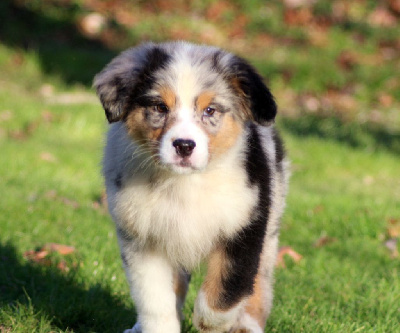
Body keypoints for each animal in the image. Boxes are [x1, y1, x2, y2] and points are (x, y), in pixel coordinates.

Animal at [94, 41, 288, 332]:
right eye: (160, 107)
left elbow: (225, 291)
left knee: (260, 281)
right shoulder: (143, 239)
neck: (185, 183)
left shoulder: (244, 227)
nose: (184, 145)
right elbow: (154, 300)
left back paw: (247, 324)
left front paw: (211, 323)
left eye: (210, 111)